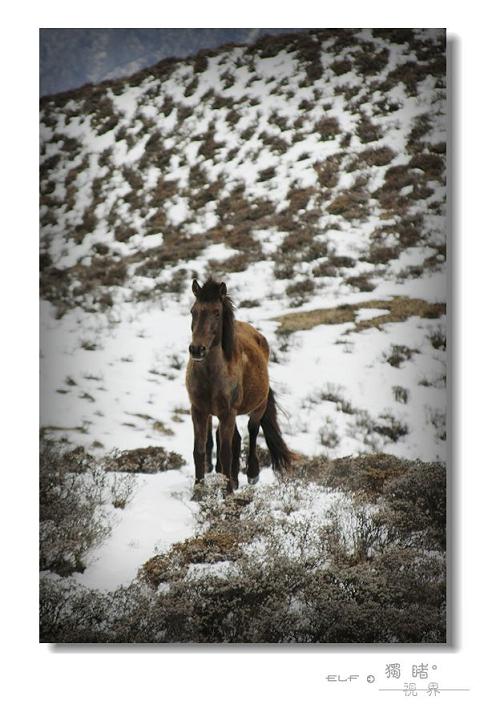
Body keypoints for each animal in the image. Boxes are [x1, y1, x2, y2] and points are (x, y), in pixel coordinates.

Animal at [184, 278, 292, 492]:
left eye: (217, 312)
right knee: (235, 438)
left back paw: (251, 475)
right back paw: (232, 478)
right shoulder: (198, 411)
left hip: (257, 407)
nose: (197, 350)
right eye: (193, 311)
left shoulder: (227, 413)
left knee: (252, 431)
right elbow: (198, 450)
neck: (212, 376)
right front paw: (198, 492)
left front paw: (228, 494)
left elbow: (226, 453)